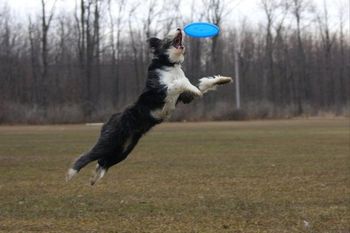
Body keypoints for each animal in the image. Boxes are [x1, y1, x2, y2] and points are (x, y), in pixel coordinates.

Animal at [66, 28, 232, 185]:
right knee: (87, 156)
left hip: (124, 149)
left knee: (103, 162)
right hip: (109, 141)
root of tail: (109, 119)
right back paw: (71, 174)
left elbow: (202, 85)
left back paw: (94, 178)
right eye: (167, 35)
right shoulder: (159, 91)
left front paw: (223, 80)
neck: (169, 64)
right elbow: (180, 84)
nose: (179, 28)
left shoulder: (184, 97)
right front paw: (194, 89)